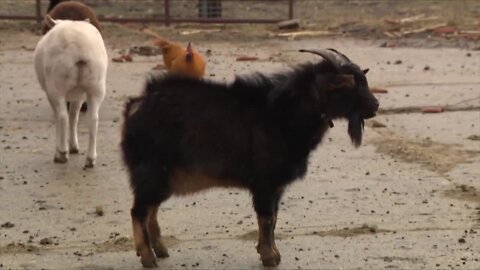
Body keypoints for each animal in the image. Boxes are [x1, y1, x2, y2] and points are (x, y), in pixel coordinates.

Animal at [34, 15, 107, 168]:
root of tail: (80, 48)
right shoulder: (78, 95)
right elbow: (74, 116)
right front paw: (74, 146)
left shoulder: (51, 94)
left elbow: (61, 117)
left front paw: (63, 149)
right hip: (96, 86)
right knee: (93, 119)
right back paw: (90, 158)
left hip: (57, 85)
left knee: (63, 117)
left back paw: (61, 154)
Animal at [120, 48, 378, 268]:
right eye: (348, 85)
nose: (375, 105)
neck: (282, 115)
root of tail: (136, 106)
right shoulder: (265, 182)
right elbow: (266, 219)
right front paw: (269, 258)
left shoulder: (276, 187)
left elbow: (274, 218)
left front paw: (274, 254)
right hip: (150, 171)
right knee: (138, 212)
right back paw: (148, 257)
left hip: (162, 177)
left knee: (150, 210)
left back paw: (161, 250)